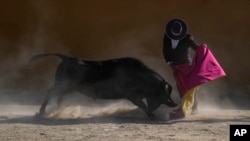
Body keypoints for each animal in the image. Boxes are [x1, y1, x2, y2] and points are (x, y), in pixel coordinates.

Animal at [30, 53, 177, 118]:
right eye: (163, 92)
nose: (174, 103)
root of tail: (67, 58)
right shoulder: (133, 96)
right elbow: (143, 105)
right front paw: (152, 116)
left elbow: (144, 104)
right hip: (63, 85)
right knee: (50, 92)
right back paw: (41, 112)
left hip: (66, 87)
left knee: (58, 96)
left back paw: (58, 110)